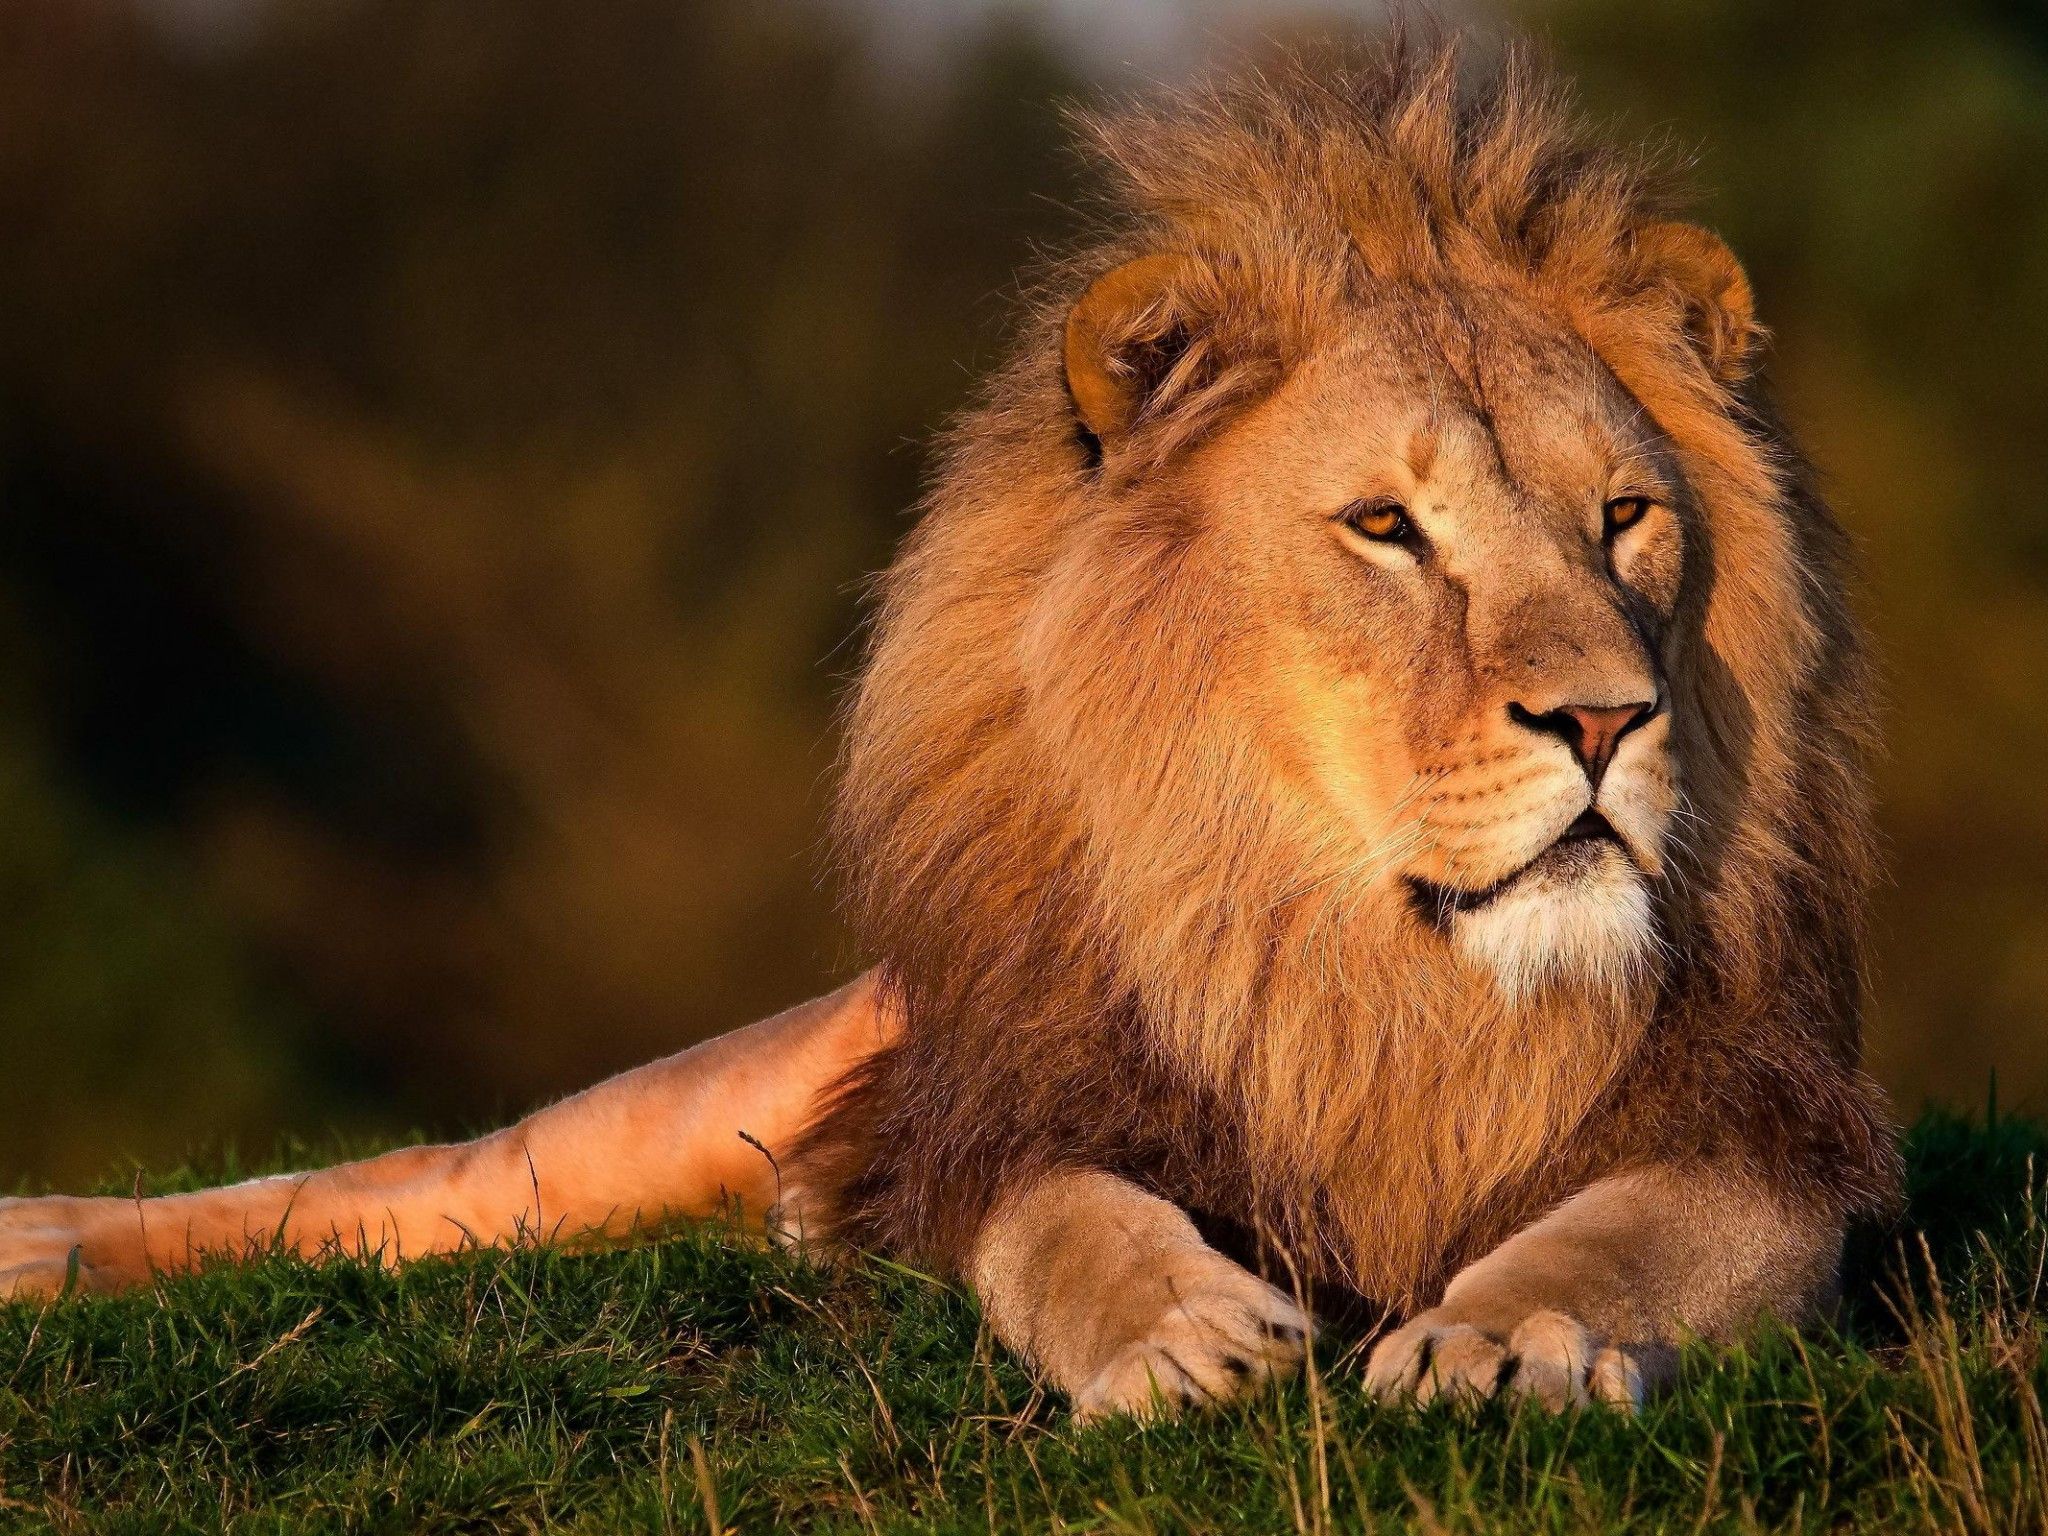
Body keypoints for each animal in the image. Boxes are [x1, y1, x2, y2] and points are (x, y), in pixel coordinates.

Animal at [0, 39, 1898, 1419]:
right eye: (1385, 528)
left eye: (1623, 518)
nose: (1606, 718)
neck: (1365, 971)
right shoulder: (1003, 1109)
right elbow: (1063, 1226)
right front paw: (1183, 1332)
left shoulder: (1765, 1133)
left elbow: (1632, 1235)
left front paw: (1505, 1333)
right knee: (418, 1184)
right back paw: (45, 1245)